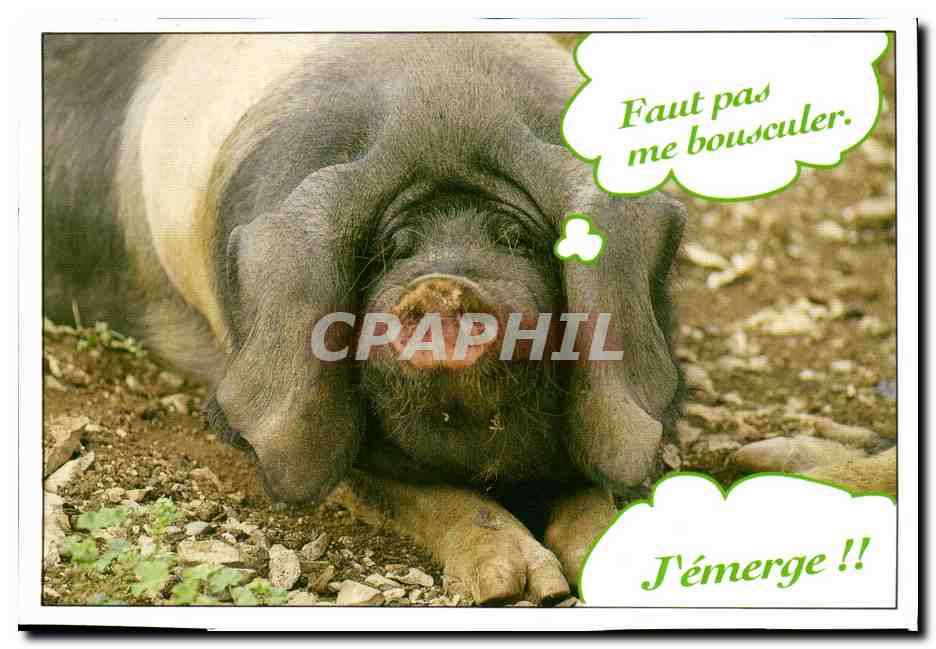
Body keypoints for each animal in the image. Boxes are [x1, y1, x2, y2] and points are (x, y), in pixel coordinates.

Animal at [43, 33, 686, 604]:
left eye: (517, 240)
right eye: (392, 251)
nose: (443, 284)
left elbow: (597, 481)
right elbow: (422, 494)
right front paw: (515, 589)